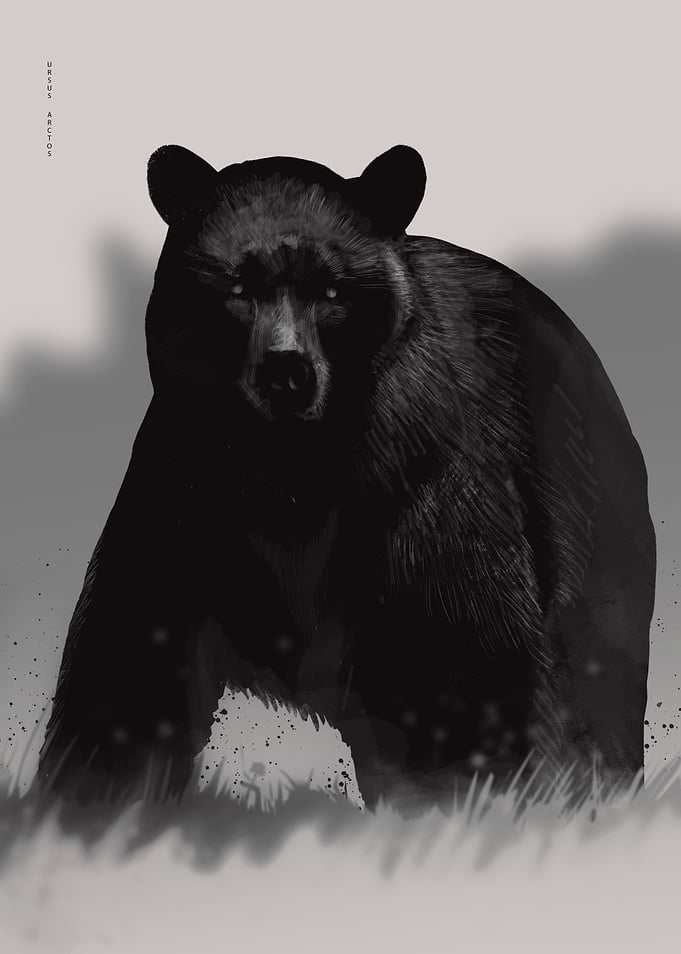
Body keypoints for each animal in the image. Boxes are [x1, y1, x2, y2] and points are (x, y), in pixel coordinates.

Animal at [38, 144, 656, 810]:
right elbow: (131, 659)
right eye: (237, 285)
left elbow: (460, 662)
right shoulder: (187, 489)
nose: (287, 372)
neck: (290, 466)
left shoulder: (416, 480)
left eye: (332, 289)